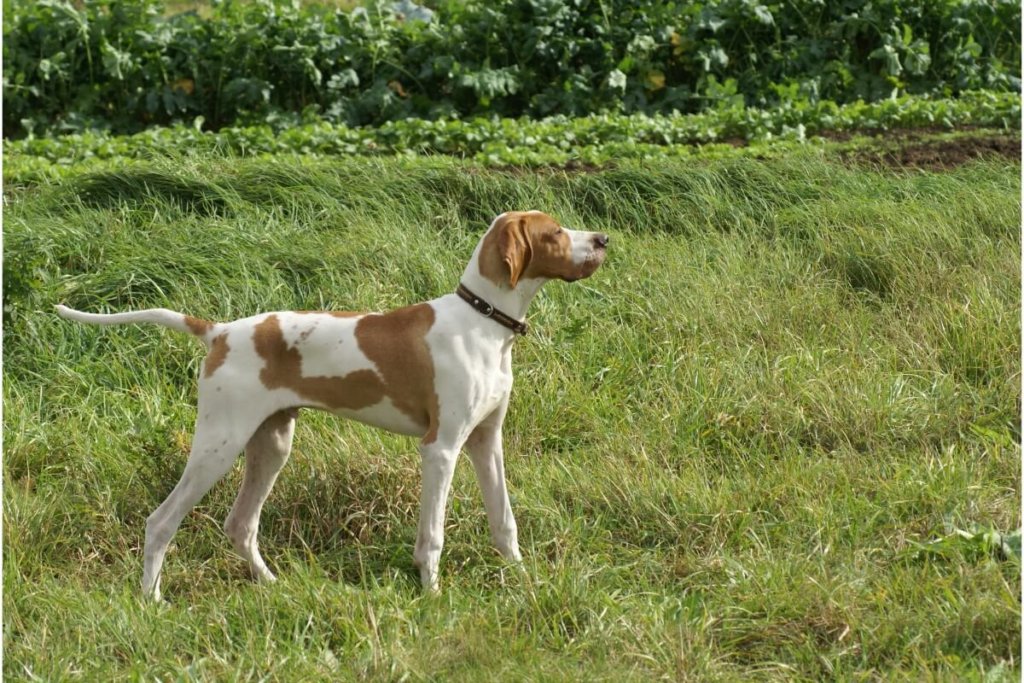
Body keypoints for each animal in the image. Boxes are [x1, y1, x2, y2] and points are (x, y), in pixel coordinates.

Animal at [56, 210, 606, 602]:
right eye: (556, 233)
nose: (603, 239)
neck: (483, 321)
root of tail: (219, 331)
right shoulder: (442, 448)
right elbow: (432, 535)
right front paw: (432, 596)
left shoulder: (486, 442)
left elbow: (504, 522)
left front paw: (522, 579)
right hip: (219, 443)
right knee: (162, 521)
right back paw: (152, 600)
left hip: (272, 443)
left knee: (240, 525)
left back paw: (271, 584)